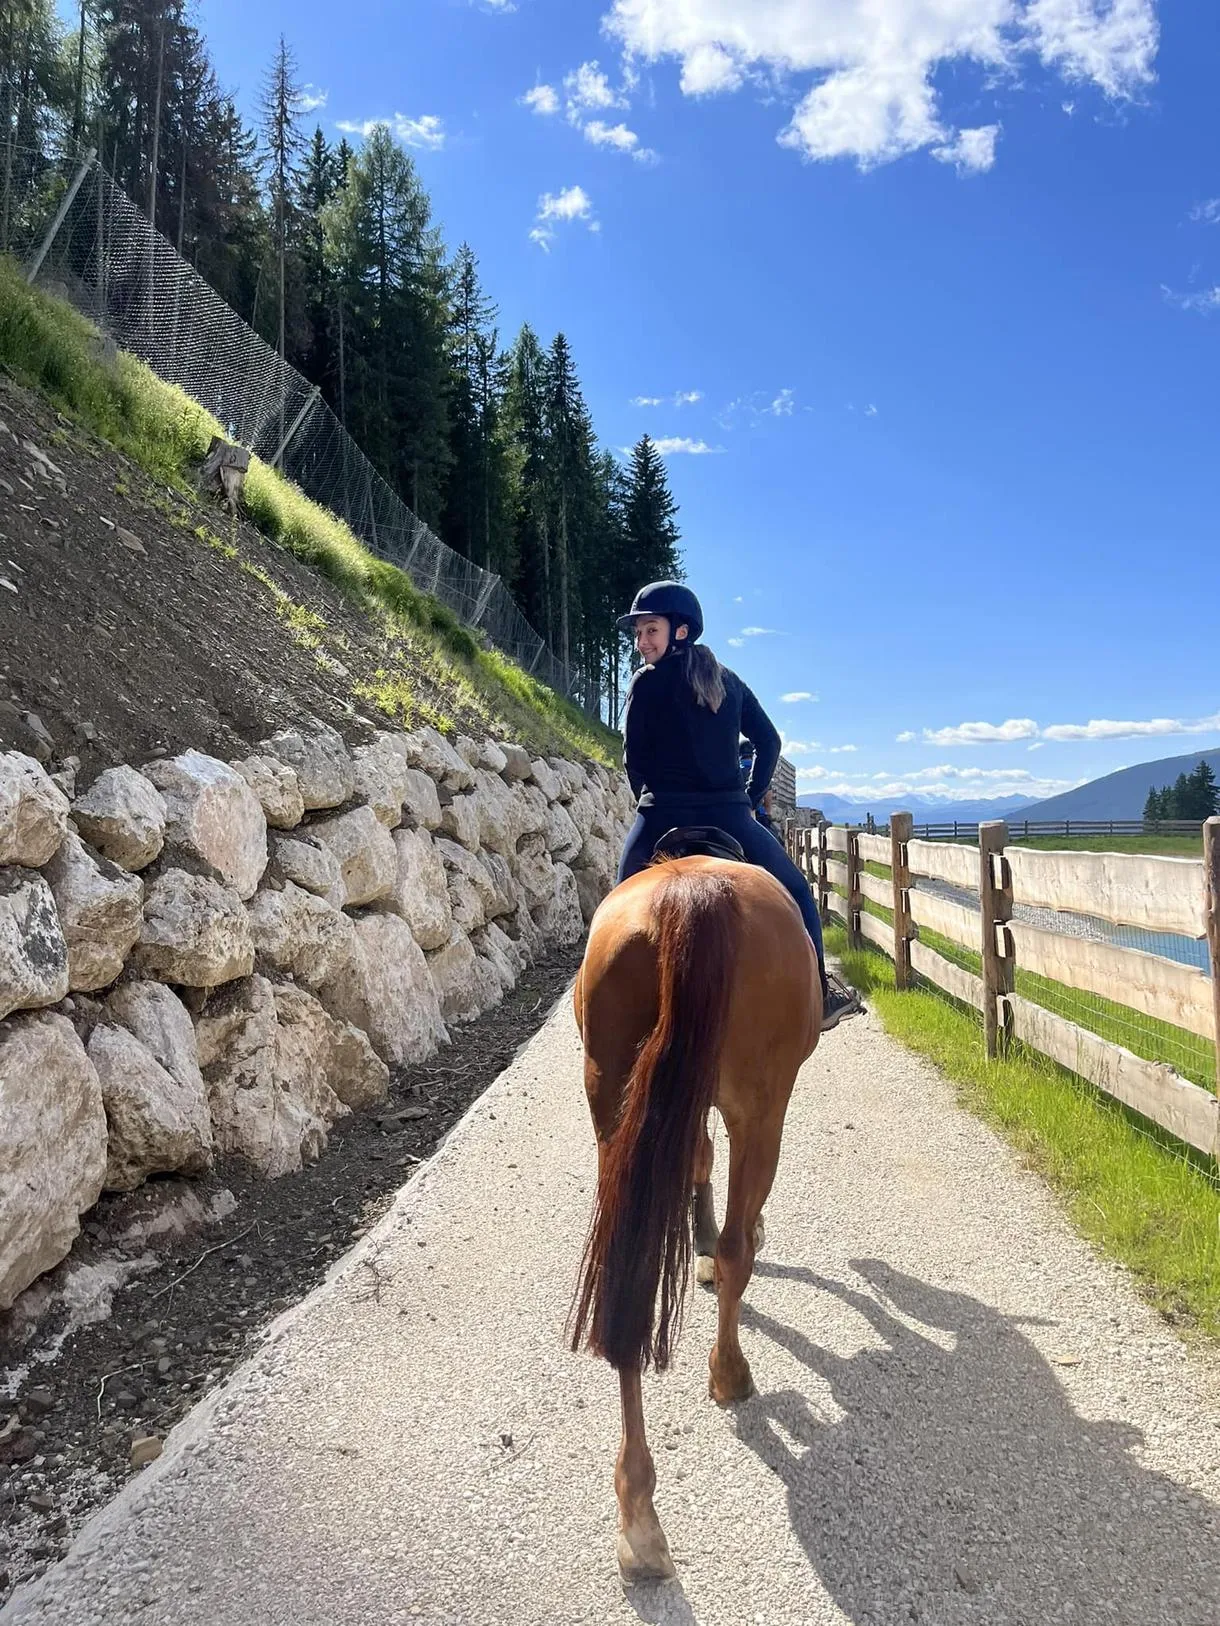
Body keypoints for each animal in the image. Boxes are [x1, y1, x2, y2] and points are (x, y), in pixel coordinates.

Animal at [569, 851, 822, 1584]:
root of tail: (688, 896)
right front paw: (714, 1248)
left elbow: (695, 1166)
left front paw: (698, 1242)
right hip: (762, 1110)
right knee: (740, 1249)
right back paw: (729, 1373)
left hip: (613, 1104)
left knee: (627, 1281)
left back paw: (638, 1519)